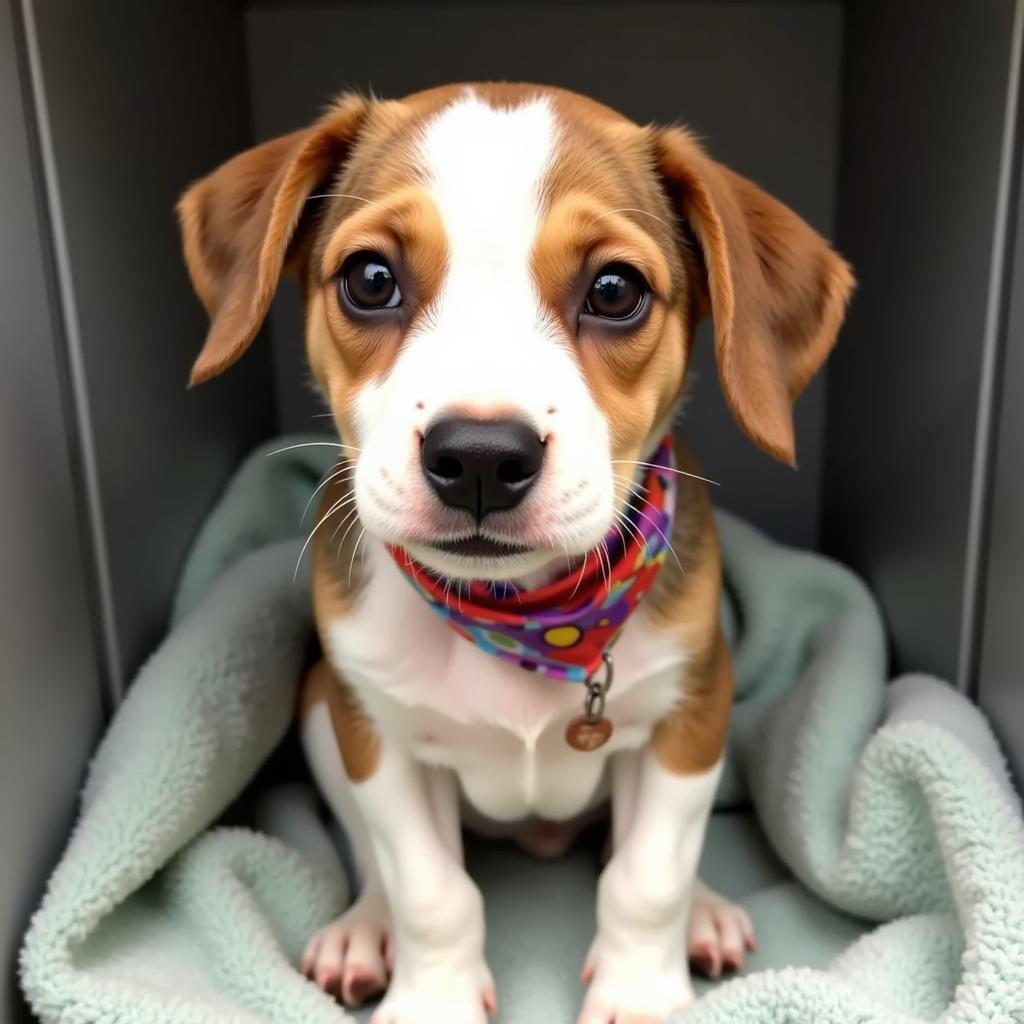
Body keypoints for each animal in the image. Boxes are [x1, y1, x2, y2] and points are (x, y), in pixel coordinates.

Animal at [180, 83, 851, 1024]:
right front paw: (433, 998)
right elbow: (429, 890)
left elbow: (647, 878)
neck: (526, 617)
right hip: (318, 707)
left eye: (615, 290)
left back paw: (706, 912)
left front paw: (642, 990)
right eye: (370, 279)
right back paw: (364, 929)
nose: (480, 458)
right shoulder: (374, 732)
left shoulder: (692, 713)